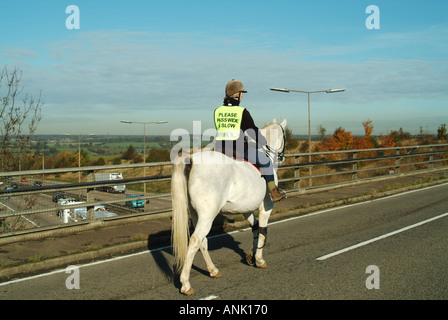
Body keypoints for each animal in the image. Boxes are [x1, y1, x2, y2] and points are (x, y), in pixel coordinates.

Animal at [170, 118, 286, 296]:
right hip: (208, 215)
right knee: (195, 240)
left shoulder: (245, 209)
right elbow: (263, 230)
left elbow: (255, 228)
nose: (282, 157)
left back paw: (213, 270)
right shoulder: (266, 207)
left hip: (197, 215)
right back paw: (186, 284)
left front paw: (251, 256)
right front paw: (259, 260)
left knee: (202, 241)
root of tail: (192, 160)